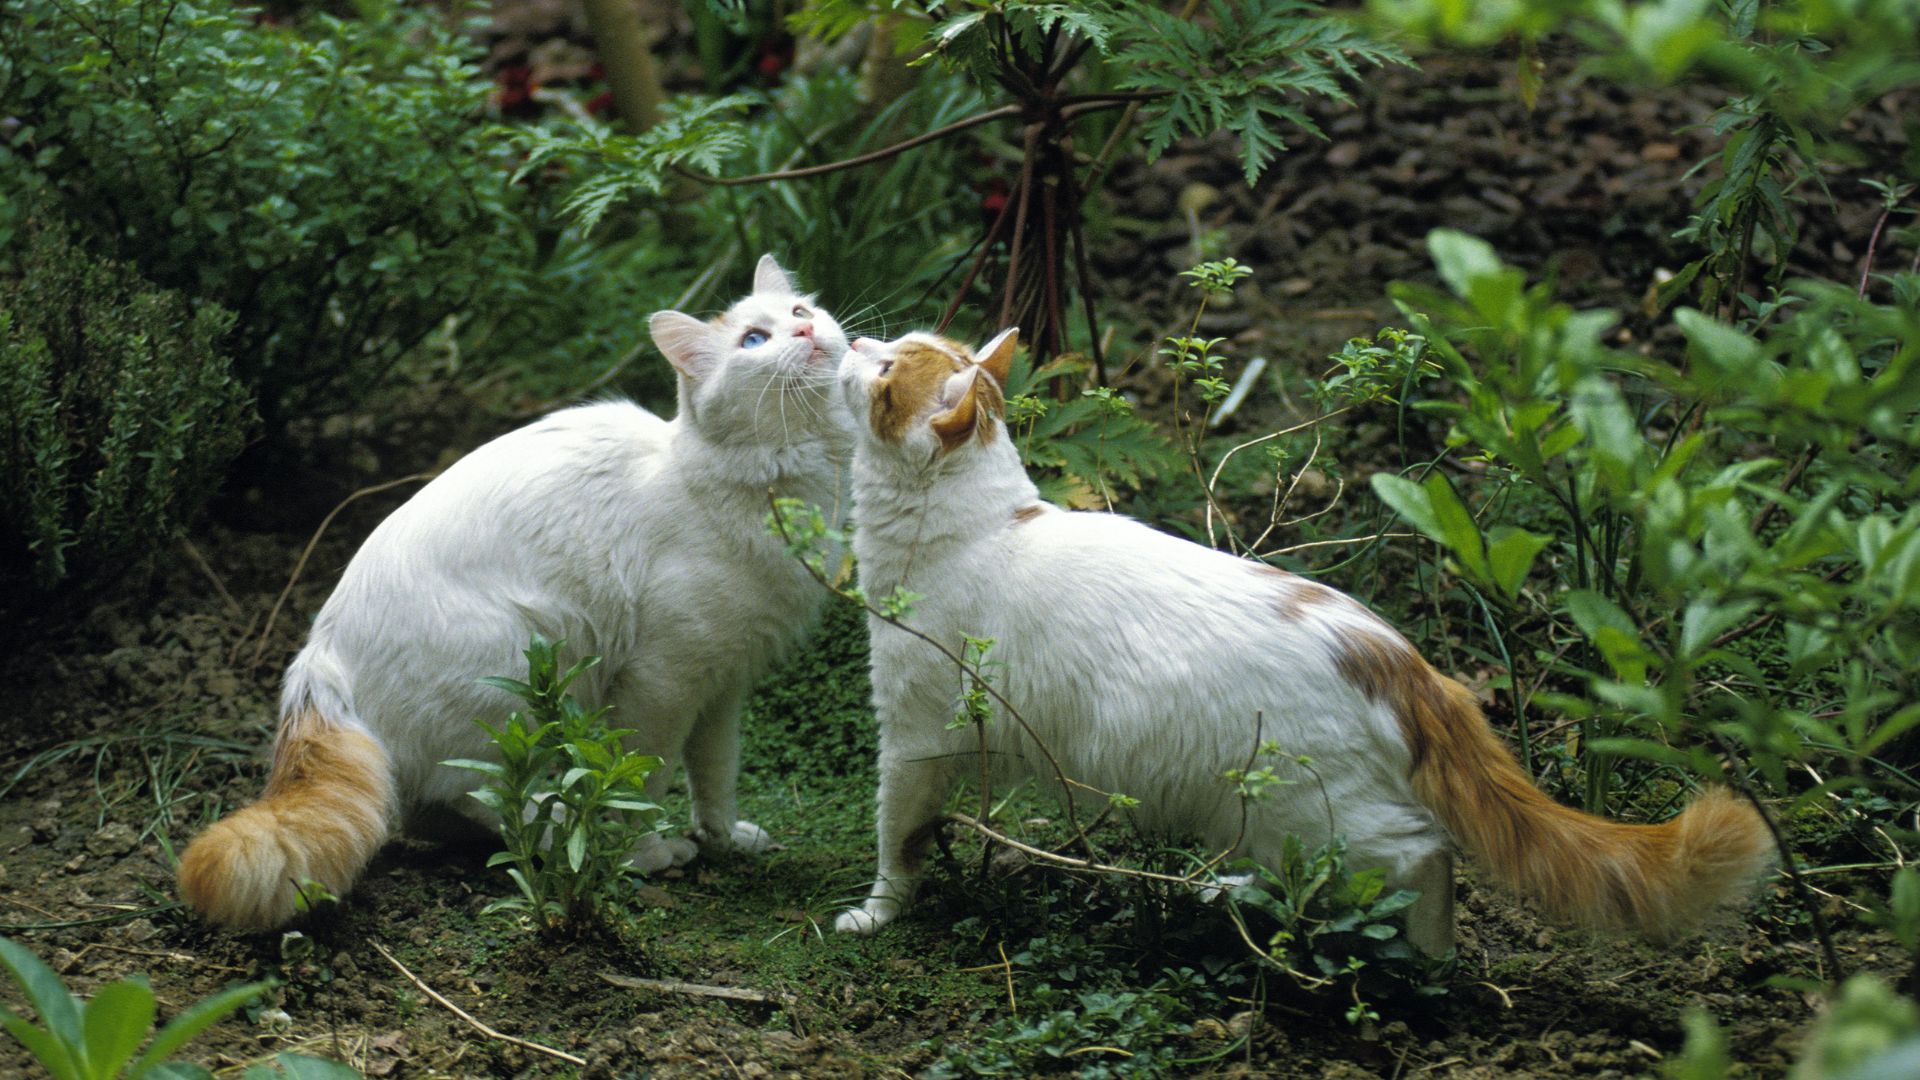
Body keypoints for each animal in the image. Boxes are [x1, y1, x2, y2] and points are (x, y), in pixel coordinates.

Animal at [176, 251, 852, 926]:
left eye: (800, 311)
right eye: (754, 341)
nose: (805, 330)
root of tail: (319, 655)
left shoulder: (722, 686)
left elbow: (716, 777)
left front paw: (725, 840)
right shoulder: (663, 682)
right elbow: (639, 781)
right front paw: (640, 852)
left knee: (431, 807)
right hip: (520, 674)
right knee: (485, 794)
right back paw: (565, 840)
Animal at [833, 326, 1774, 949]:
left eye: (885, 366)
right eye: (896, 342)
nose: (857, 335)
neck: (983, 523)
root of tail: (1404, 660)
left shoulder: (911, 737)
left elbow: (894, 838)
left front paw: (879, 912)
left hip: (1317, 813)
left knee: (1425, 854)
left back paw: (1427, 960)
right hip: (1256, 811)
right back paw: (1231, 897)